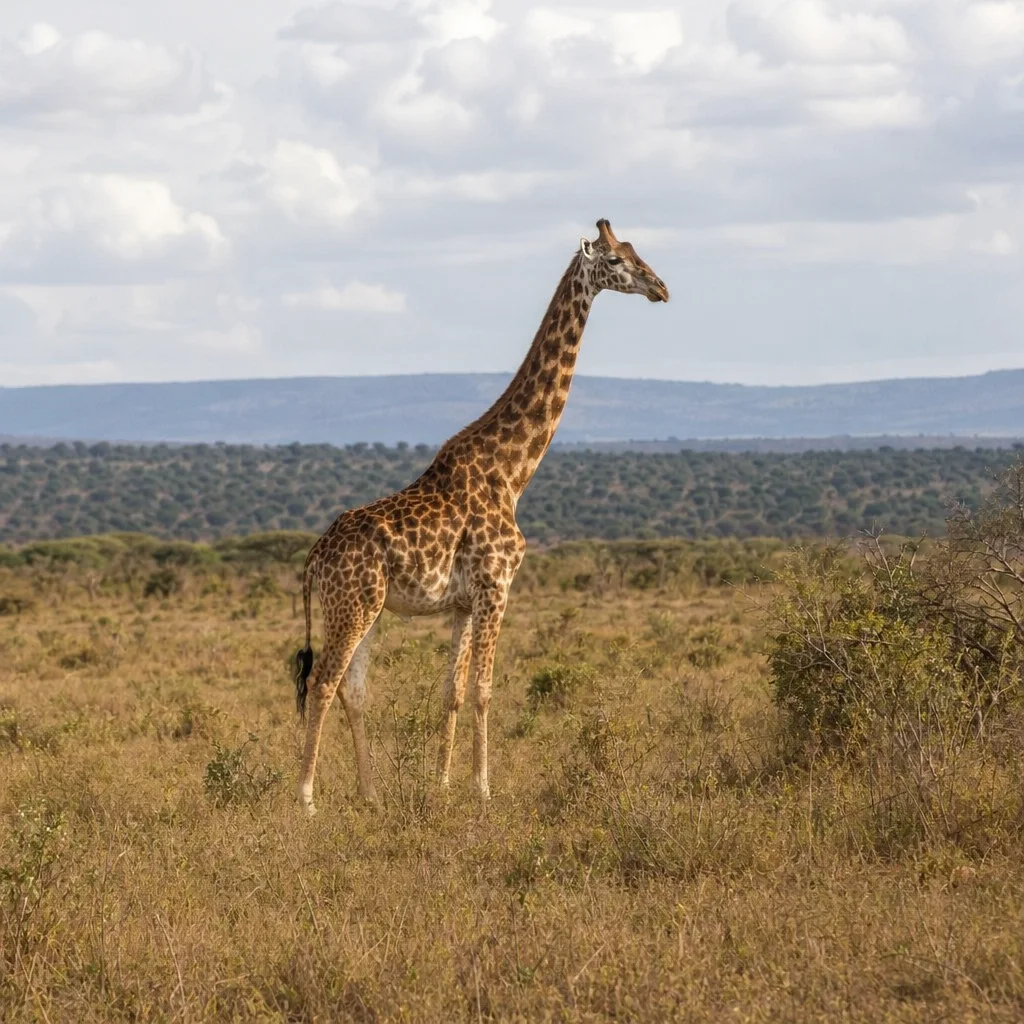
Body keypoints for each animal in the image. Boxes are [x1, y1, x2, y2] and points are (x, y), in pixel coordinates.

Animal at [293, 218, 669, 814]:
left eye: (635, 252)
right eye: (615, 261)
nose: (661, 287)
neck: (513, 472)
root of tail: (312, 559)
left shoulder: (463, 603)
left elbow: (452, 689)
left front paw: (441, 785)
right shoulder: (497, 586)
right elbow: (485, 688)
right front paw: (482, 788)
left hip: (368, 609)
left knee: (353, 687)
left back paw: (371, 796)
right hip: (351, 605)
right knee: (323, 682)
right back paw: (307, 799)